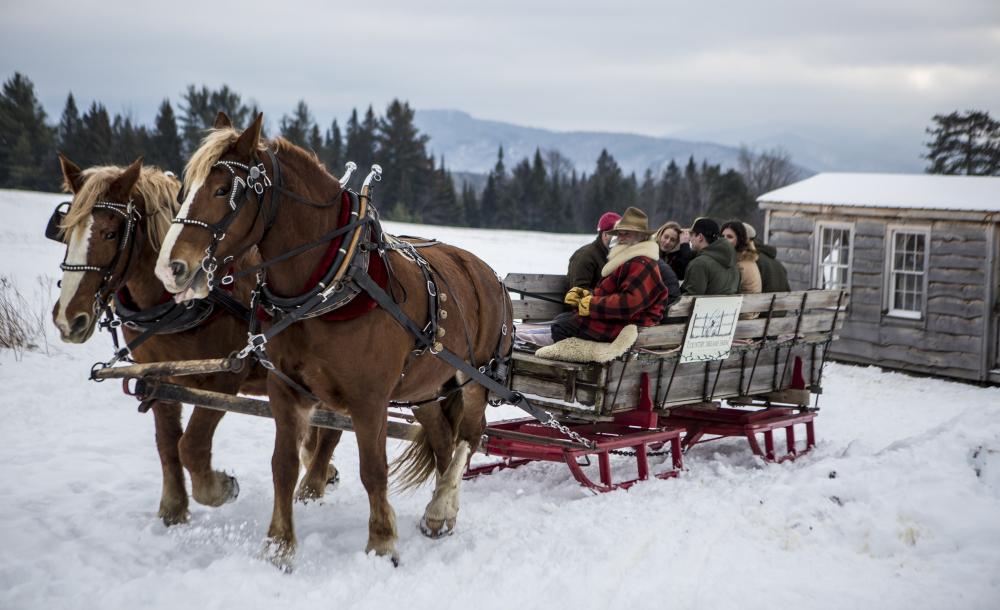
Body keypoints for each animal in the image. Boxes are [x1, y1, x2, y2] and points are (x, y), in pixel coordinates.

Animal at [51, 154, 344, 524]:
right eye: (63, 233)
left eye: (110, 233)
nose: (67, 319)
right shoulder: (158, 376)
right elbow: (167, 443)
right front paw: (174, 508)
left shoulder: (224, 378)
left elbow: (190, 445)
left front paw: (218, 488)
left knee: (333, 428)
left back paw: (313, 483)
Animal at [156, 113, 516, 564]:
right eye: (184, 189)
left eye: (224, 190)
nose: (170, 269)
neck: (332, 280)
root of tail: (488, 272)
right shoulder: (286, 390)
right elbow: (283, 465)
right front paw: (279, 546)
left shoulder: (369, 399)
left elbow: (373, 469)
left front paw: (382, 543)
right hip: (425, 389)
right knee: (442, 440)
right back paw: (438, 512)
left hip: (475, 378)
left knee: (469, 435)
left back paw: (442, 508)